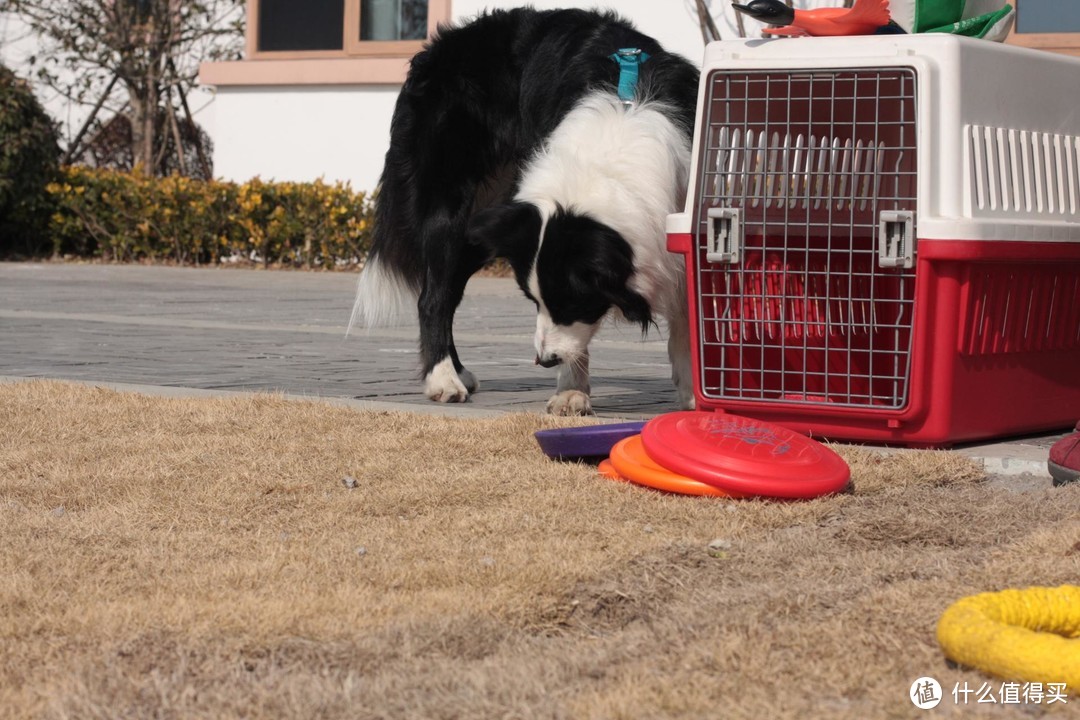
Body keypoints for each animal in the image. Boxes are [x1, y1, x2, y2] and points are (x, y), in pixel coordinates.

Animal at [349, 9, 695, 416]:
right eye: (534, 302)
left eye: (570, 301)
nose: (544, 360)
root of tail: (436, 47)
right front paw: (570, 391)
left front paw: (694, 393)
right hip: (451, 205)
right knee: (432, 296)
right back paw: (443, 378)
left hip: (492, 224)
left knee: (448, 290)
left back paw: (458, 371)